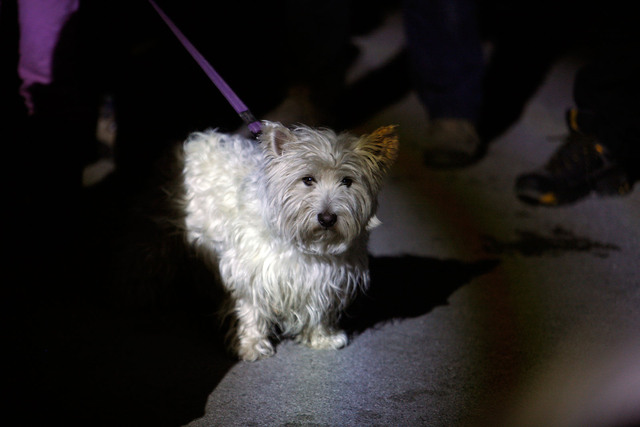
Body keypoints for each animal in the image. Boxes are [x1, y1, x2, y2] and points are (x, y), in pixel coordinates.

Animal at [180, 120, 398, 362]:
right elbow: (251, 310)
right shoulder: (251, 271)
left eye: (347, 181)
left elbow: (319, 308)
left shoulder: (322, 279)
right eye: (308, 179)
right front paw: (252, 345)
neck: (305, 244)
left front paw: (323, 338)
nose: (327, 218)